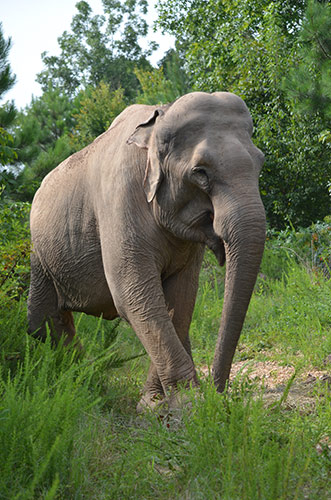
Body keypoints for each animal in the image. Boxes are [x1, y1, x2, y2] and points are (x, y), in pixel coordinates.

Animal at [27, 92, 268, 412]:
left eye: (260, 162)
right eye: (200, 173)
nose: (217, 395)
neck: (159, 120)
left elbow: (181, 296)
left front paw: (156, 403)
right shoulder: (119, 200)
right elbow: (134, 294)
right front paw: (186, 406)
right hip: (39, 254)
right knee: (41, 321)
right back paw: (80, 385)